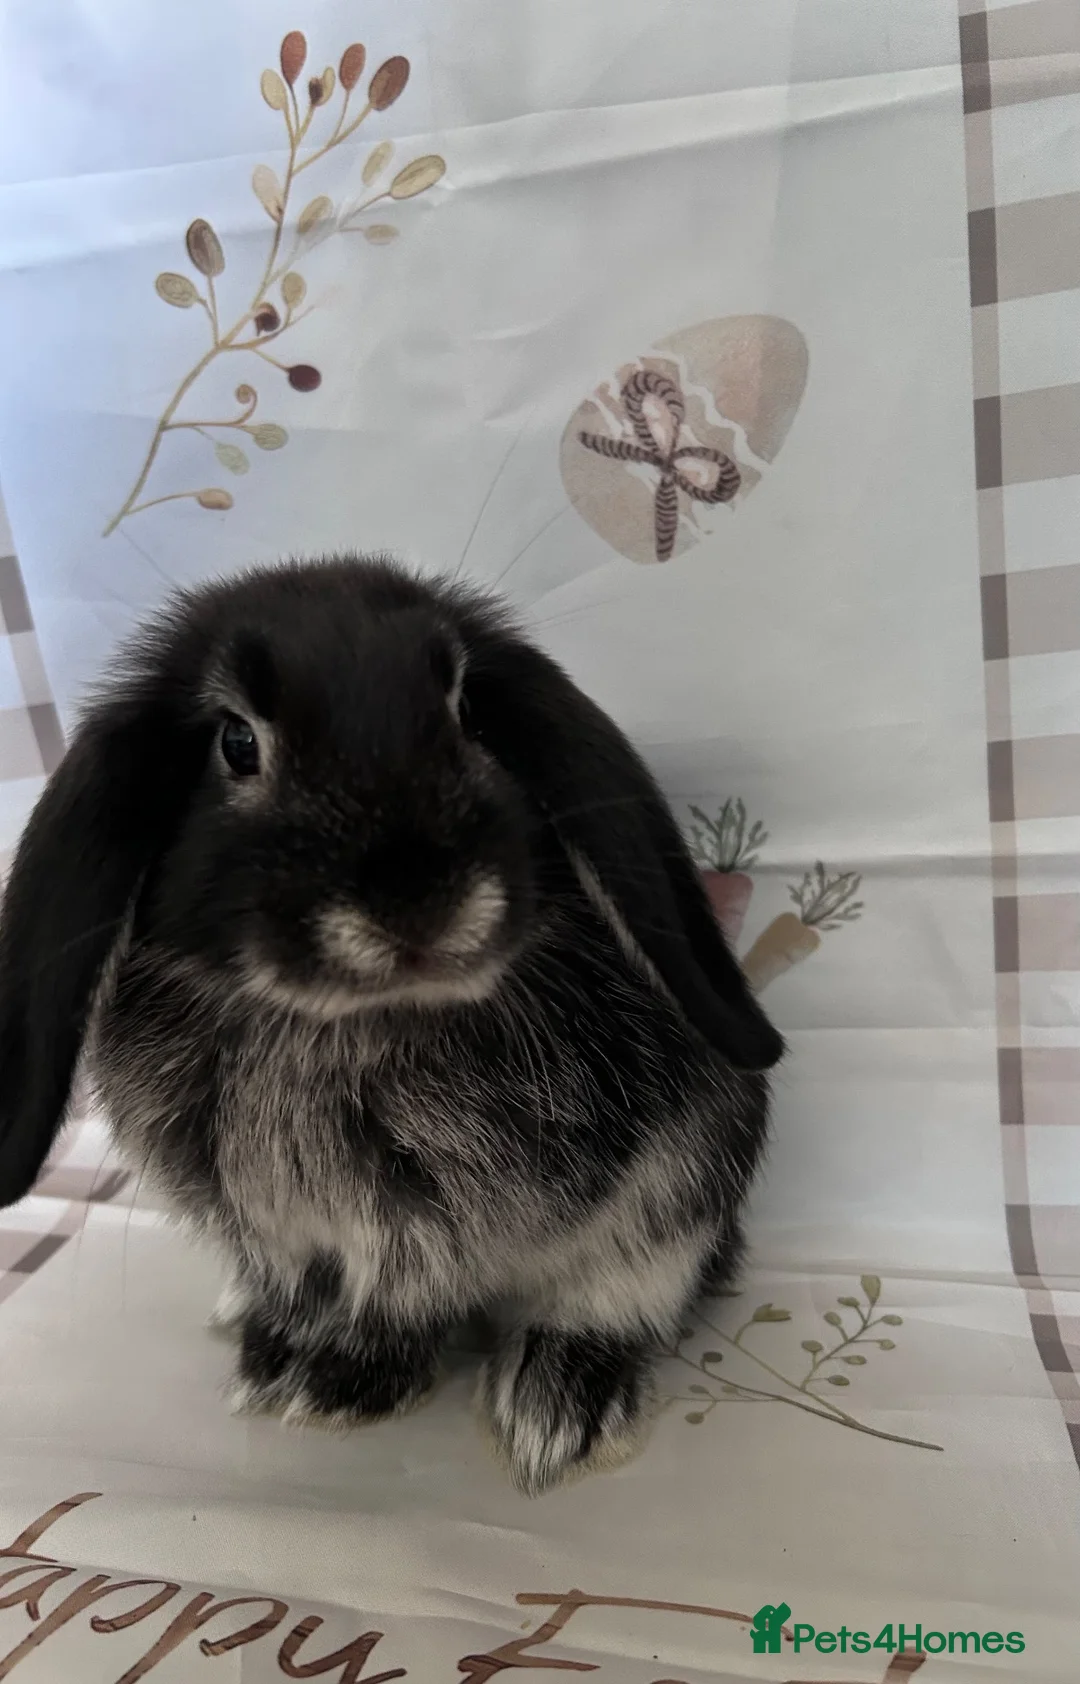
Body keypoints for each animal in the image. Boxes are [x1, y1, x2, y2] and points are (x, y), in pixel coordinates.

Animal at [0, 555, 782, 1495]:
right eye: (237, 742)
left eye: (466, 711)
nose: (418, 900)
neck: (354, 1024)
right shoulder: (288, 1228)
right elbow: (323, 1287)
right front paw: (295, 1364)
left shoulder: (458, 1219)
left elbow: (439, 1286)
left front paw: (337, 1381)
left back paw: (559, 1399)